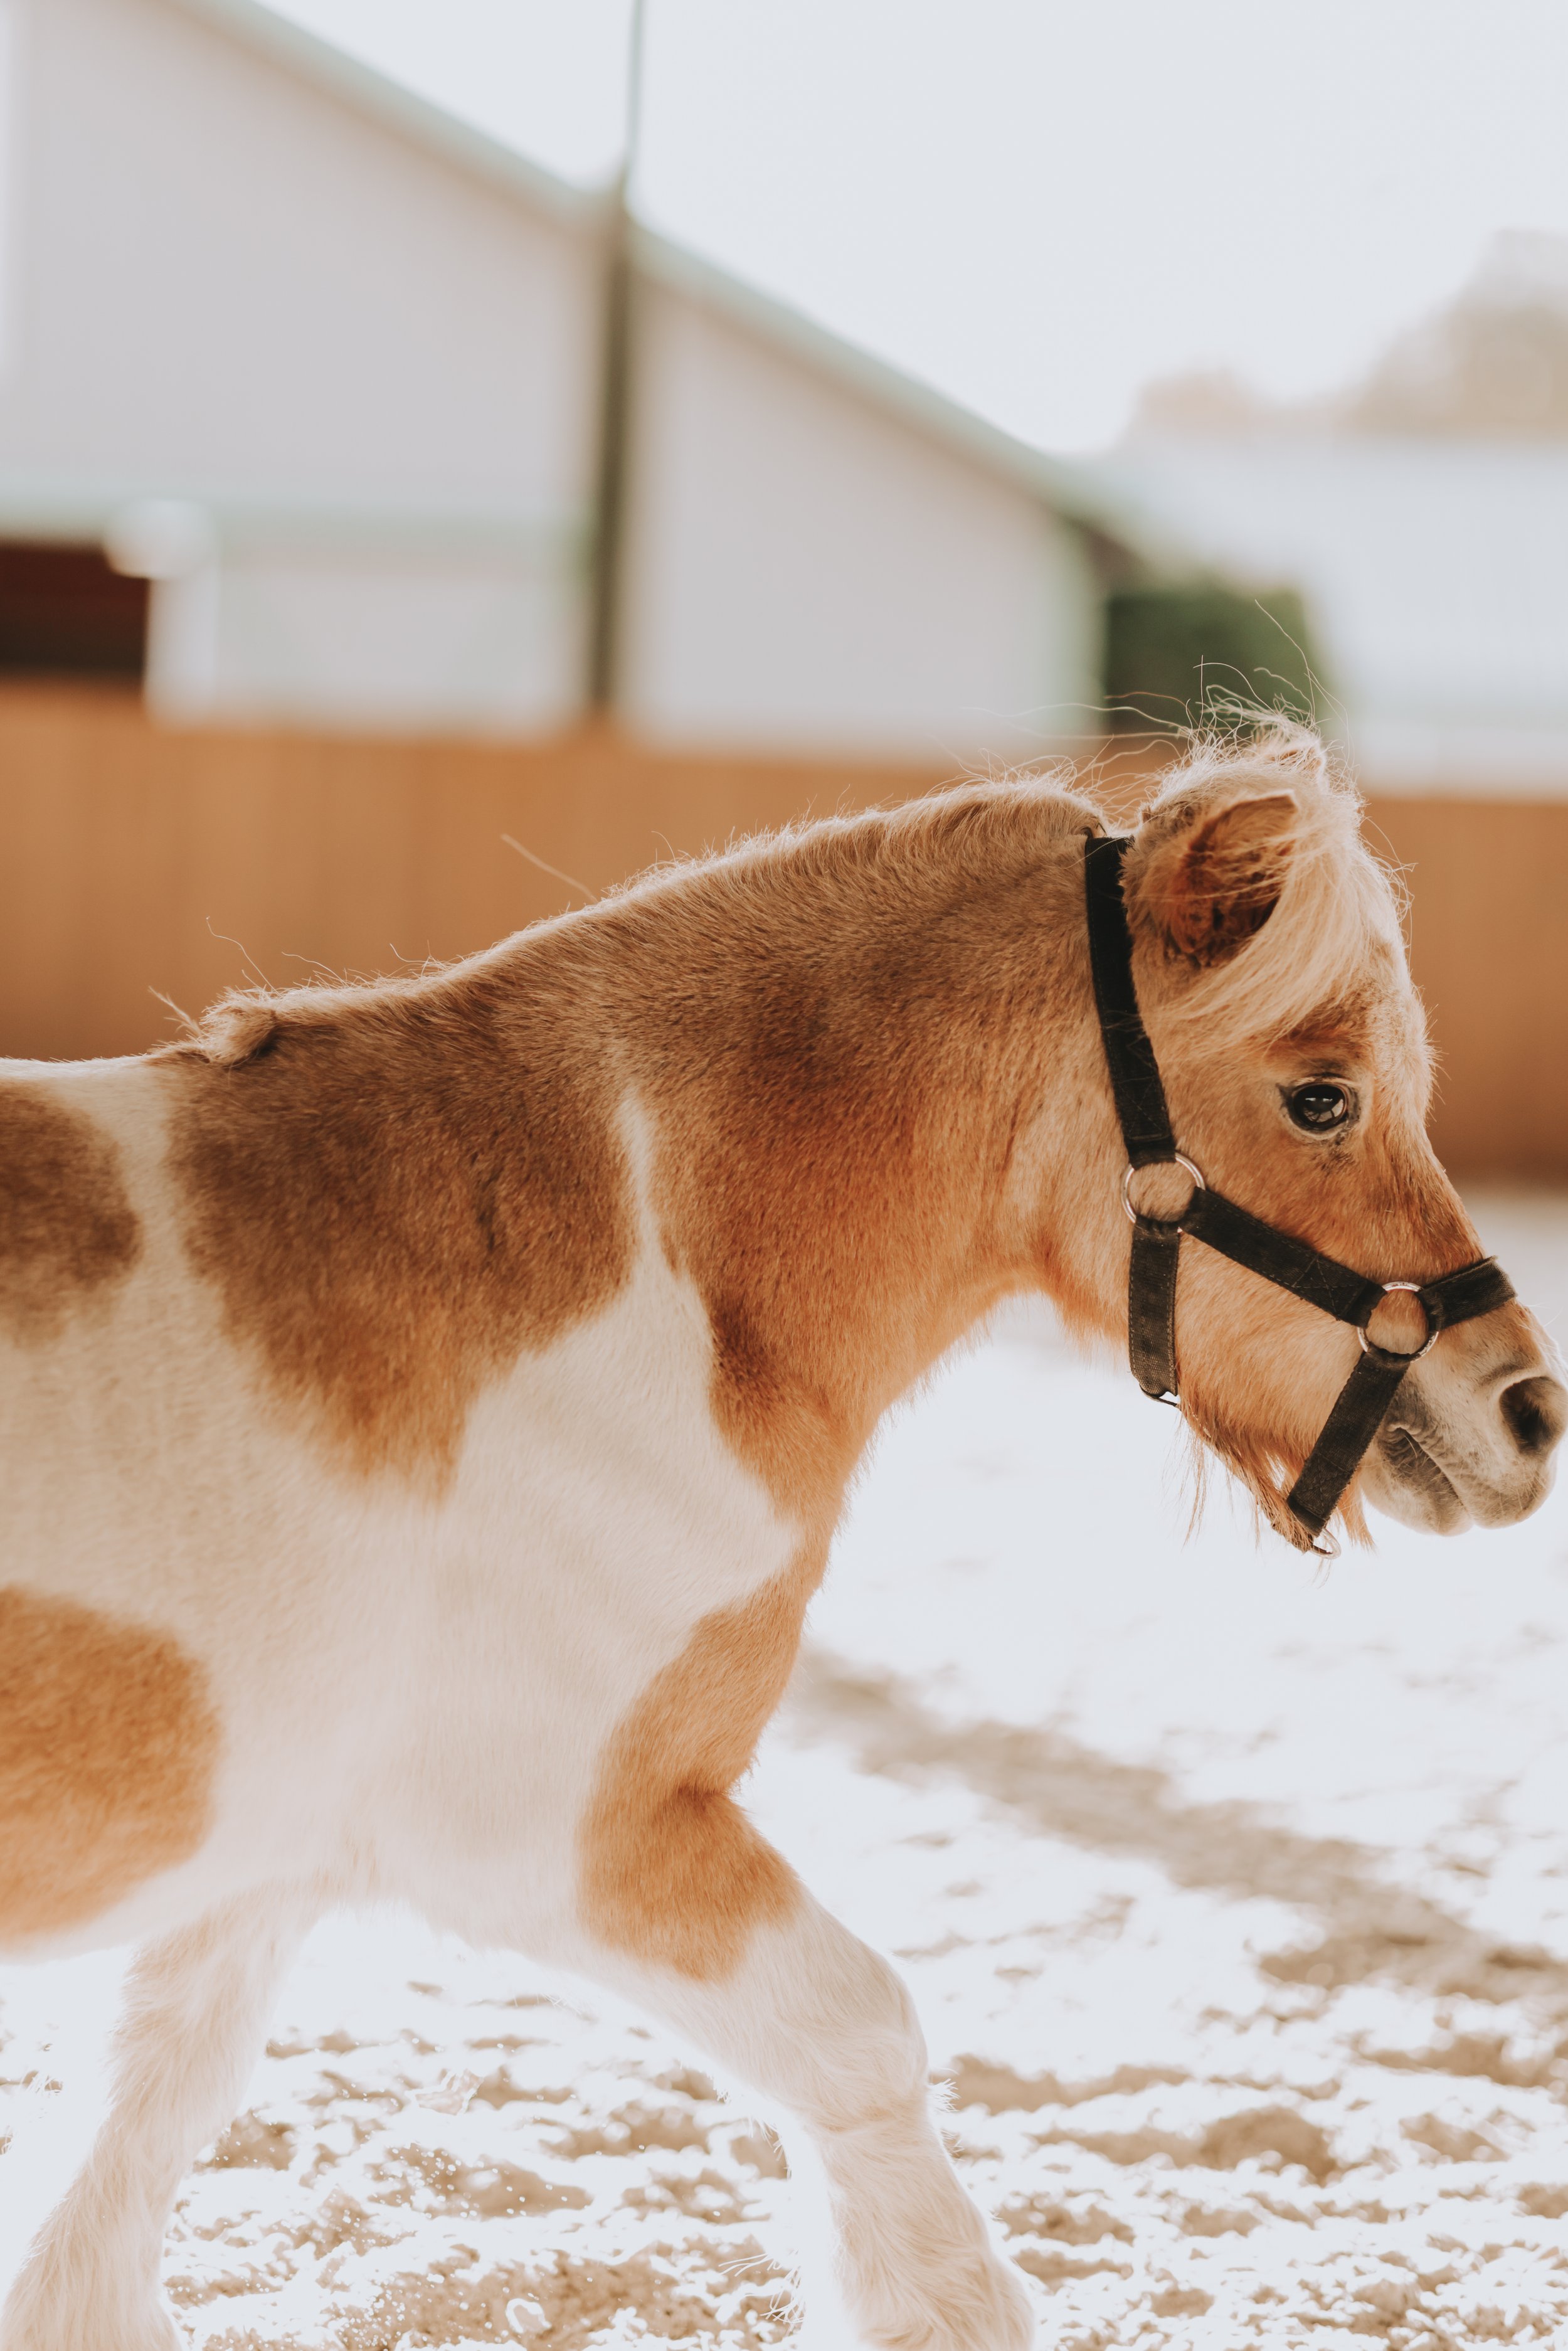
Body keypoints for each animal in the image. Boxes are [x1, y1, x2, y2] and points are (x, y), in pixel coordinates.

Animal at [1, 727, 1561, 2351]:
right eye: (1322, 1097)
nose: (1526, 1411)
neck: (652, 1294)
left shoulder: (270, 1849)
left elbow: (139, 2109)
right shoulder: (559, 1832)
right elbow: (864, 2041)